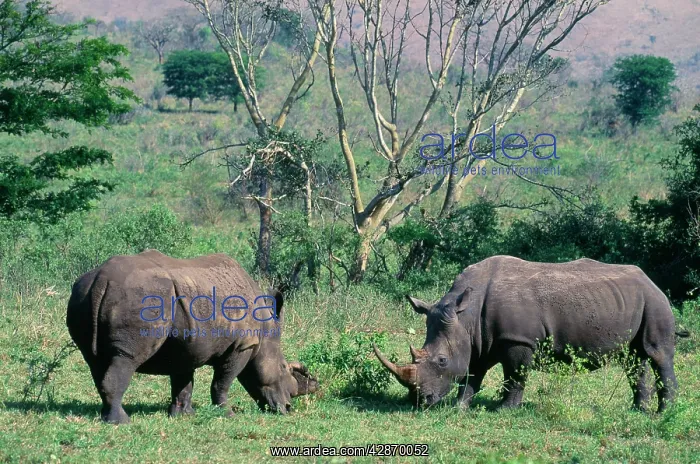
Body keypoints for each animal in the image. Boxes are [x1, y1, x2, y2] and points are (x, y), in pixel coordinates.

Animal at [66, 250, 318, 424]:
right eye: (284, 368)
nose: (287, 408)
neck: (264, 332)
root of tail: (101, 279)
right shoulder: (242, 346)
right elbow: (222, 382)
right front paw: (226, 414)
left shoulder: (187, 344)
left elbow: (183, 381)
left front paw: (183, 415)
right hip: (142, 298)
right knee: (126, 358)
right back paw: (122, 422)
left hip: (81, 294)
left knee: (95, 361)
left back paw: (105, 416)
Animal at [375, 256, 690, 412]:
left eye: (441, 361)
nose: (420, 402)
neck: (466, 315)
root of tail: (651, 281)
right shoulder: (478, 341)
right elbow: (472, 375)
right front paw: (459, 407)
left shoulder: (517, 339)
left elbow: (514, 376)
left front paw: (505, 411)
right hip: (633, 301)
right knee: (634, 359)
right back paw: (638, 410)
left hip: (655, 302)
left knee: (657, 354)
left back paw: (665, 413)